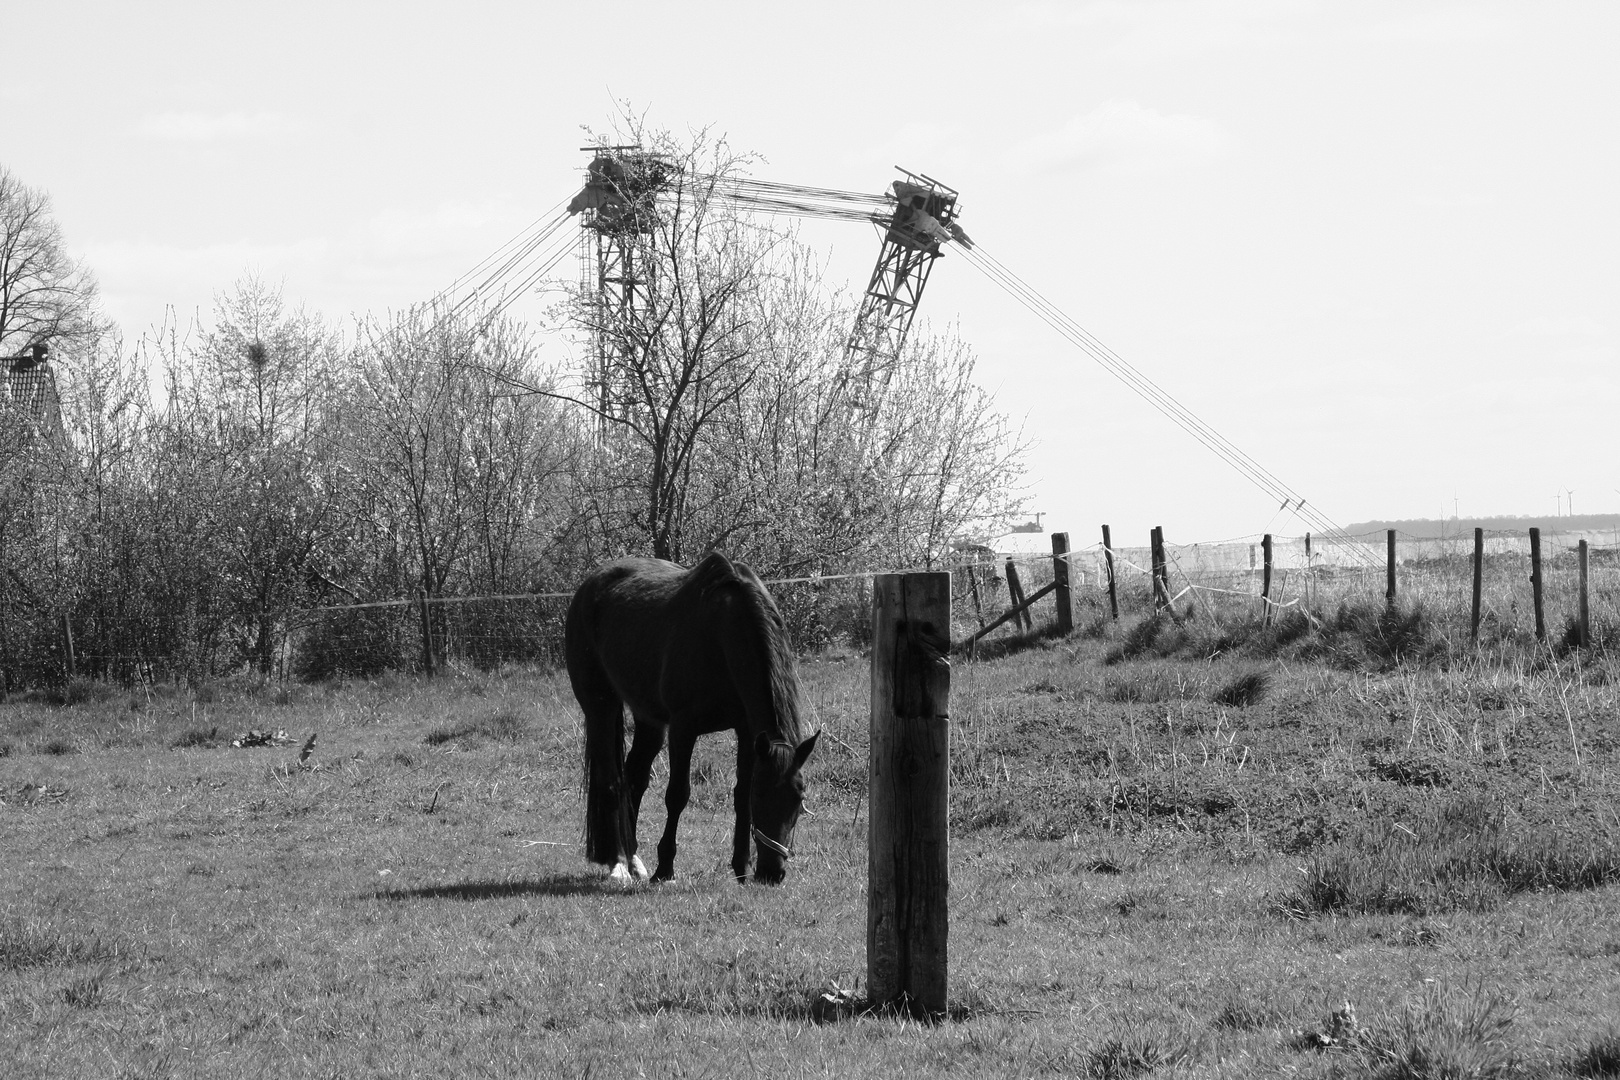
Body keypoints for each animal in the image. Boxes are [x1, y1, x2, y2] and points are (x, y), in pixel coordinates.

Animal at [570, 553, 822, 880]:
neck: (721, 636)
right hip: (601, 707)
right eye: (762, 795)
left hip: (649, 720)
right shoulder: (683, 729)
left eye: (799, 798)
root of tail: (589, 585)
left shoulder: (747, 732)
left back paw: (634, 860)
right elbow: (677, 794)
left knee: (633, 779)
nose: (771, 873)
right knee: (611, 782)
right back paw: (619, 864)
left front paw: (741, 867)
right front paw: (665, 868)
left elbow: (739, 795)